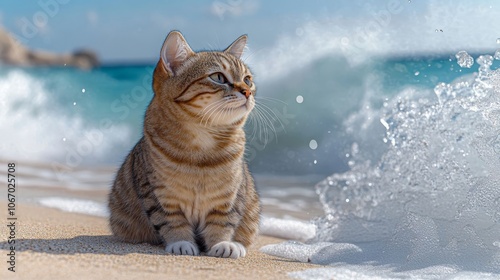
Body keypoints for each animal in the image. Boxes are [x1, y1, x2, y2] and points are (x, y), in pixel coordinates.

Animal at [107, 30, 260, 258]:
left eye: (247, 80)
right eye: (218, 77)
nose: (248, 92)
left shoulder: (229, 197)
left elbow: (223, 221)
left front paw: (222, 243)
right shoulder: (158, 195)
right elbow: (171, 221)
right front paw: (181, 242)